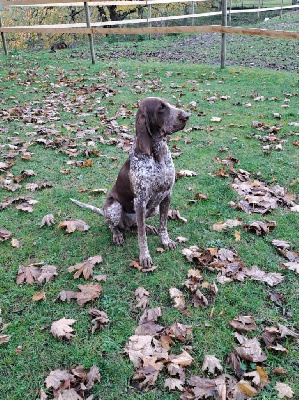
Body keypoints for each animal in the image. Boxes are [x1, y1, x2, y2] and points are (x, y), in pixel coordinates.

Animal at [71, 97, 190, 268]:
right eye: (161, 108)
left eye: (169, 104)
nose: (187, 116)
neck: (157, 154)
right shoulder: (140, 200)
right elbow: (141, 237)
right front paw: (144, 256)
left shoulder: (167, 194)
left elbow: (163, 224)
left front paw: (166, 241)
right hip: (113, 208)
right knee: (113, 225)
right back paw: (117, 235)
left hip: (152, 208)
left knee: (137, 225)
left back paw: (148, 227)